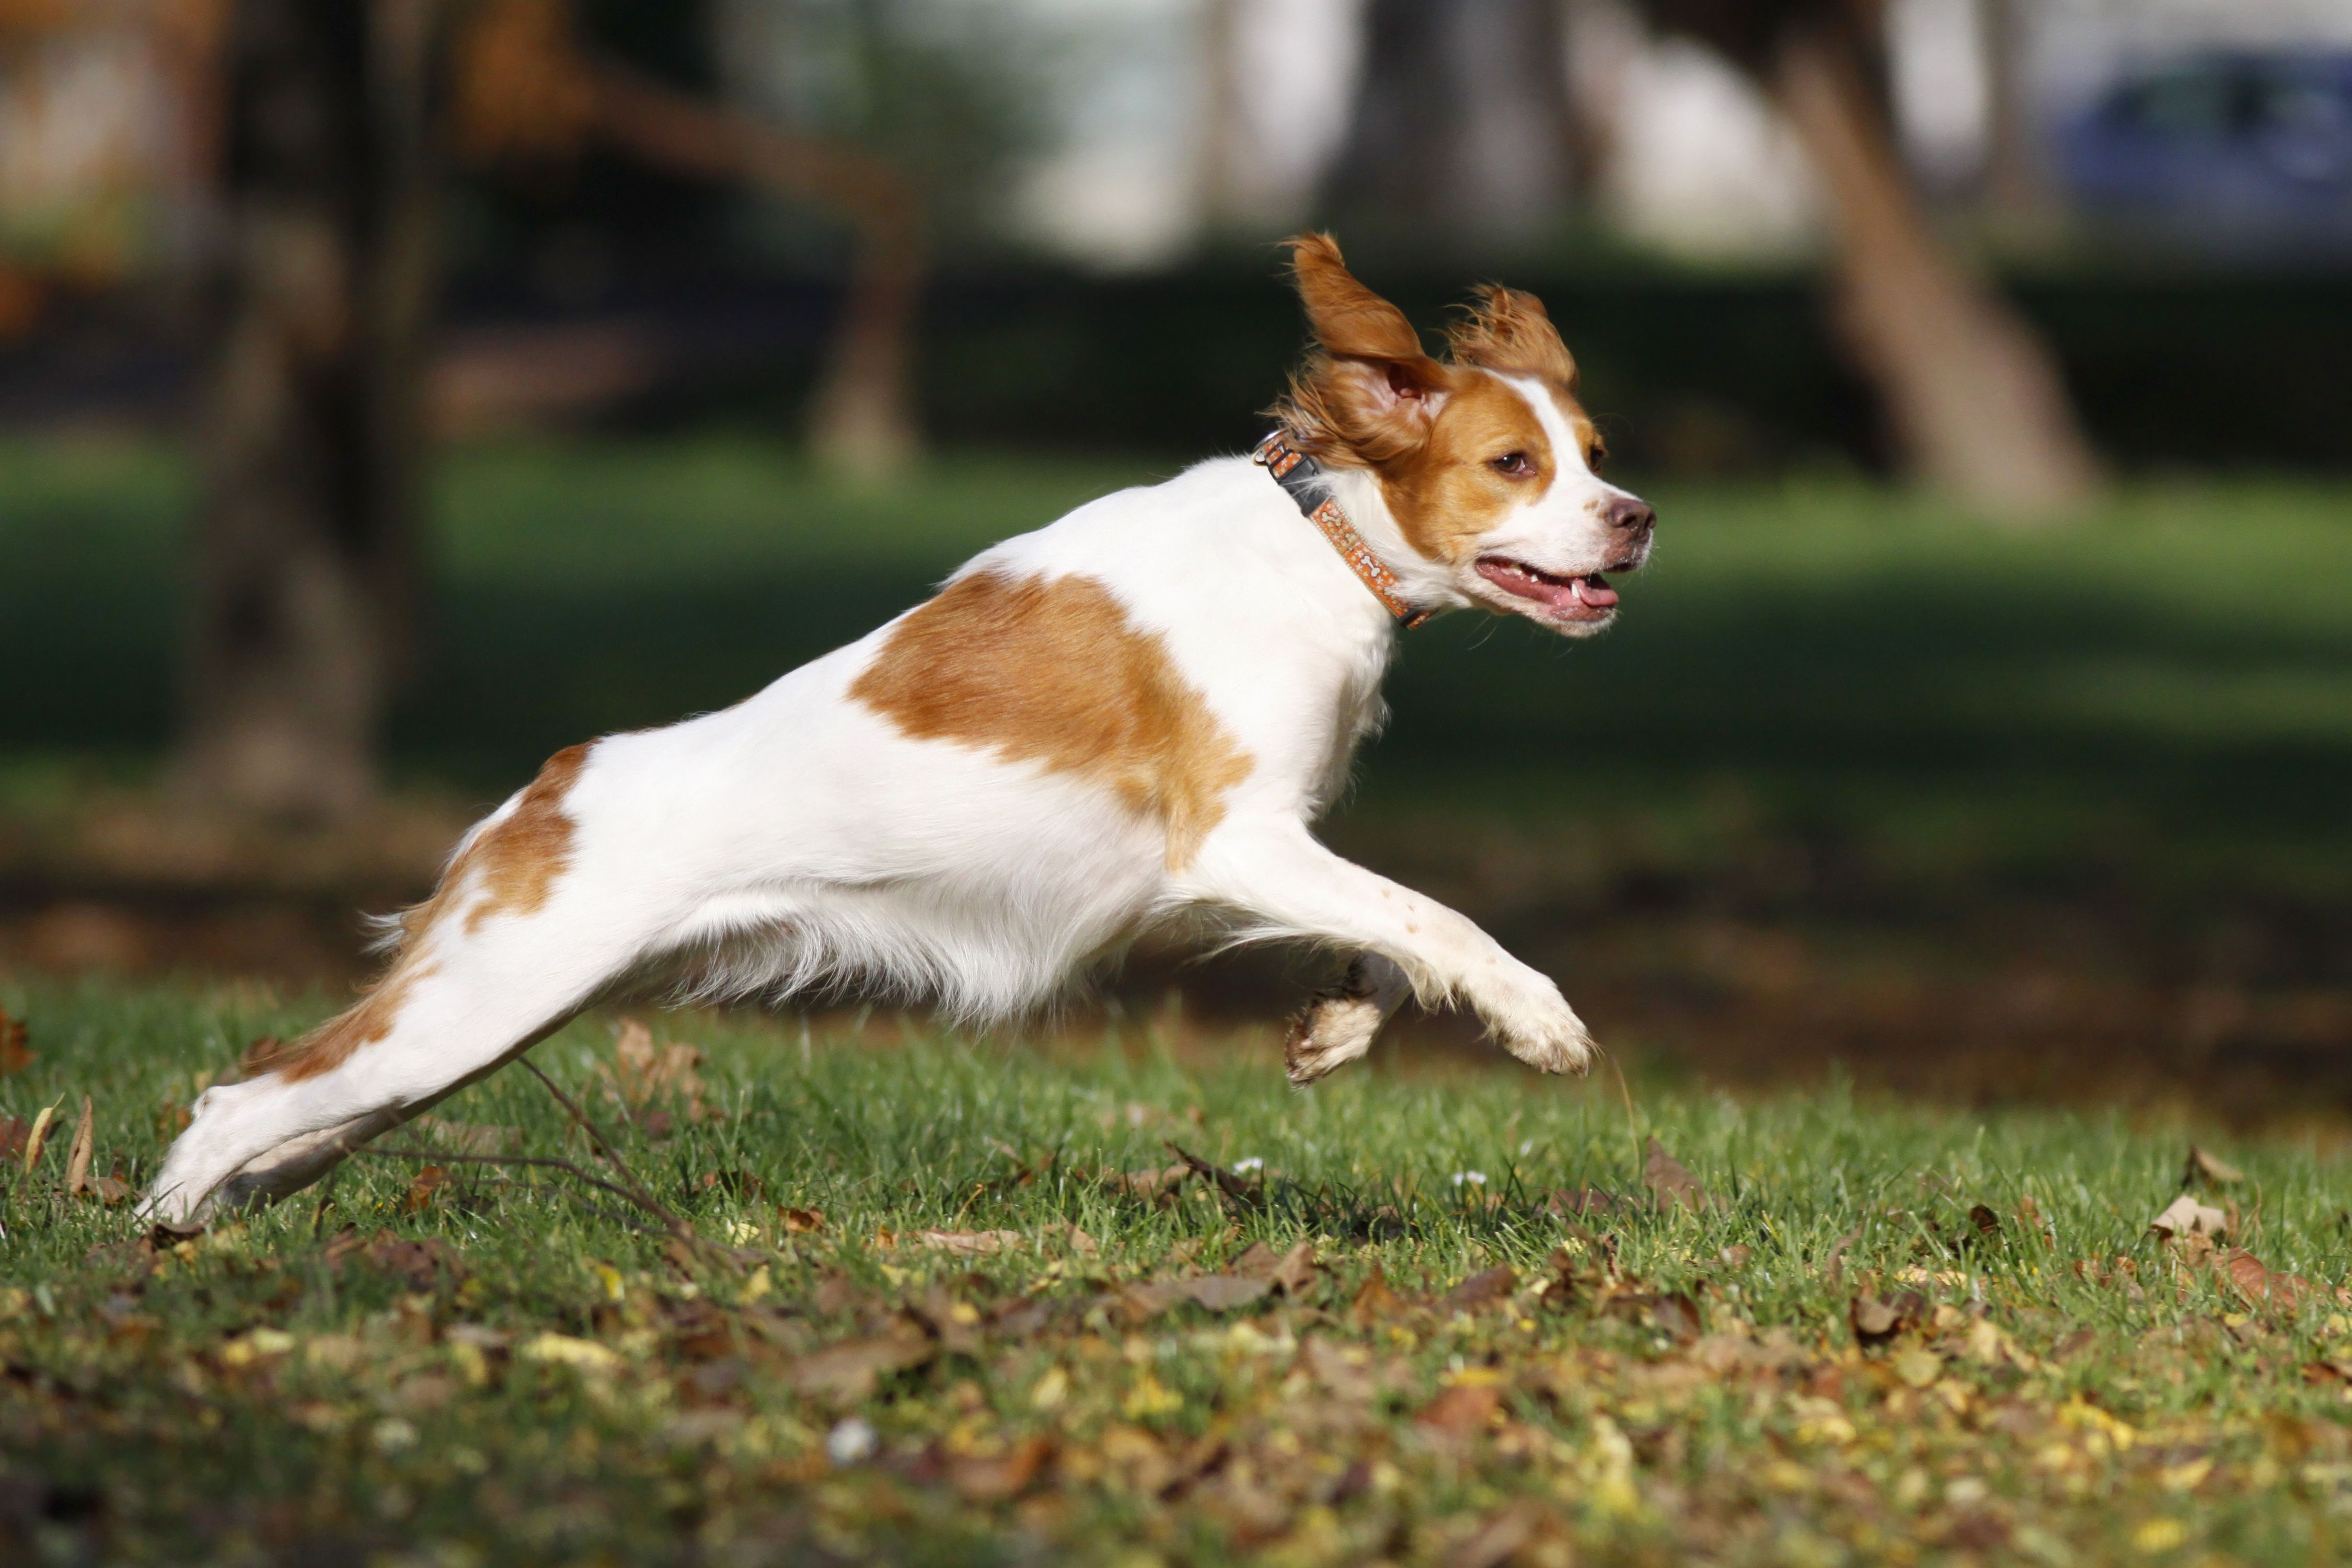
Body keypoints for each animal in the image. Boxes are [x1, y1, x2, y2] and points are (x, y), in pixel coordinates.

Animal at [142, 239, 1656, 1231]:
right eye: (1511, 465)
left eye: (1590, 452)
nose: (1636, 517)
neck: (1313, 537)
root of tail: (546, 791)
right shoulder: (1229, 838)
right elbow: (1438, 917)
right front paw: (1536, 1019)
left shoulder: (1272, 847)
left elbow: (1387, 934)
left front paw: (1335, 1027)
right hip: (478, 1004)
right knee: (235, 1102)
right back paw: (157, 1248)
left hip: (479, 1022)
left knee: (297, 1113)